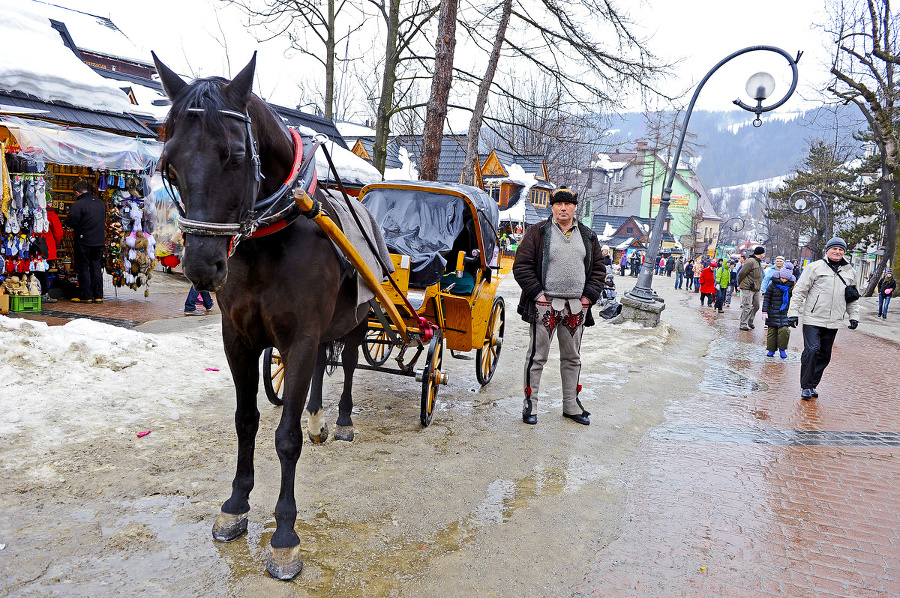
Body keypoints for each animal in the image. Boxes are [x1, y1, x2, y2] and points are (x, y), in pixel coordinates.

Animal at [153, 55, 368, 580]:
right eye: (170, 162)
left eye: (234, 154)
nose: (201, 266)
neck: (272, 237)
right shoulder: (240, 339)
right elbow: (246, 420)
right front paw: (235, 505)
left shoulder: (301, 338)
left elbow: (285, 438)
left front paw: (285, 535)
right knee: (321, 372)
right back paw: (318, 418)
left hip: (356, 321)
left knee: (351, 363)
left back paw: (342, 419)